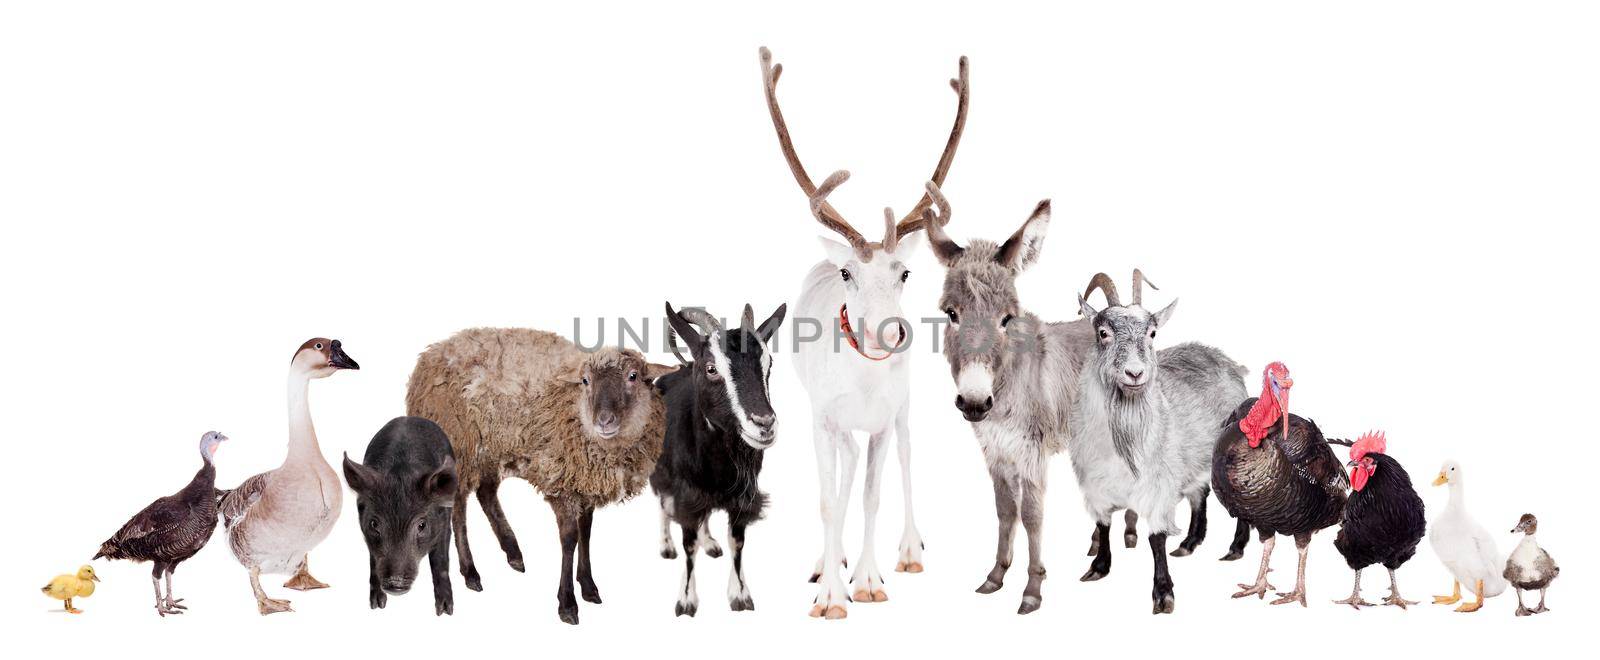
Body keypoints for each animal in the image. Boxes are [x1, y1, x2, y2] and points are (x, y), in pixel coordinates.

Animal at [344, 416, 457, 615]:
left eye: (422, 525)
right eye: (374, 524)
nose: (395, 584)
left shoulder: (444, 522)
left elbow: (440, 560)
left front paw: (445, 611)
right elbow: (373, 560)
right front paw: (377, 605)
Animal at [406, 330, 675, 624]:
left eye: (633, 376)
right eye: (585, 381)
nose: (603, 421)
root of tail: (430, 353)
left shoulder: (584, 483)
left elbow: (586, 532)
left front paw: (588, 585)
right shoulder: (561, 483)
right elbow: (569, 539)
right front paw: (567, 602)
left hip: (492, 448)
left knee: (486, 493)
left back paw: (512, 551)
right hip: (461, 448)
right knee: (458, 509)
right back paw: (470, 571)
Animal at [649, 301, 787, 615]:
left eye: (769, 364)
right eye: (711, 368)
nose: (764, 424)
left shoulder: (743, 495)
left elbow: (737, 542)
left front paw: (741, 595)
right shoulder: (686, 490)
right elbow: (688, 545)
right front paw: (686, 600)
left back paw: (709, 542)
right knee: (662, 501)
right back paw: (666, 545)